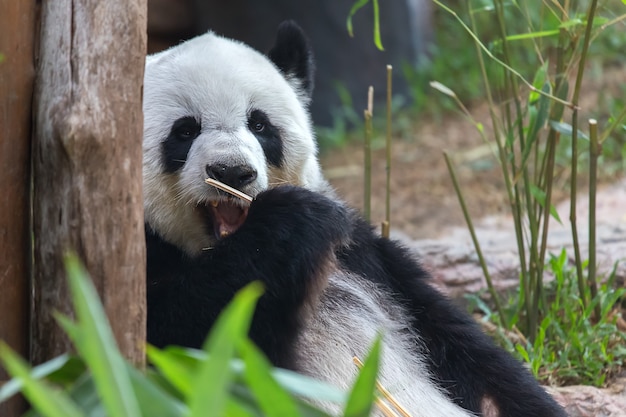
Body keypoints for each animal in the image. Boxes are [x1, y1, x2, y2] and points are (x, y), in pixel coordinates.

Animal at [141, 21, 564, 416]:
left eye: (259, 124)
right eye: (185, 131)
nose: (231, 172)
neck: (214, 250)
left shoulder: (368, 260)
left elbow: (465, 349)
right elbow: (186, 334)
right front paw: (289, 221)